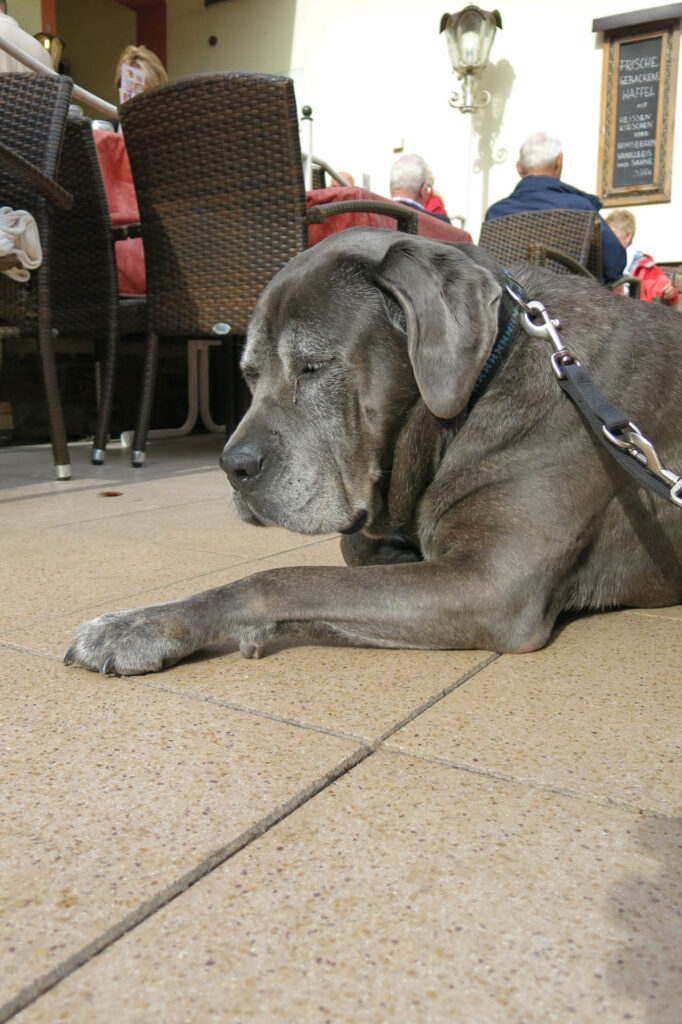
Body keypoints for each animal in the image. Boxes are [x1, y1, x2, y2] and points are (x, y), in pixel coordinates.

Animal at [66, 228, 682, 675]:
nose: (232, 467)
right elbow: (352, 549)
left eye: (313, 367)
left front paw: (139, 626)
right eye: (248, 375)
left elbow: (280, 580)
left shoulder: (492, 581)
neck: (485, 380)